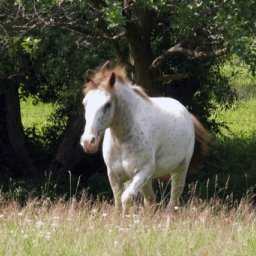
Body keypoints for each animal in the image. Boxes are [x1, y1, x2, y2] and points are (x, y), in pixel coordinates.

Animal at [80, 62, 210, 216]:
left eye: (107, 104)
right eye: (85, 103)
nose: (88, 142)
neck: (122, 140)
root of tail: (186, 113)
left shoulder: (143, 171)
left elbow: (125, 199)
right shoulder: (114, 175)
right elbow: (118, 203)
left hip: (179, 170)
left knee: (173, 202)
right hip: (145, 180)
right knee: (151, 200)